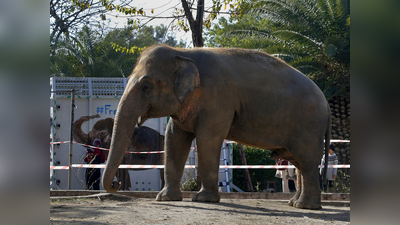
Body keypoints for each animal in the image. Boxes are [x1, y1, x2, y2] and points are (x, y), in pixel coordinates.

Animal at [102, 44, 332, 210]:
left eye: (145, 86)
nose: (117, 185)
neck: (183, 53)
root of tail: (327, 103)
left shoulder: (218, 99)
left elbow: (208, 139)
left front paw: (203, 200)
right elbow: (174, 139)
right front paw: (166, 199)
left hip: (308, 124)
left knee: (306, 161)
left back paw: (306, 207)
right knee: (299, 162)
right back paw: (294, 204)